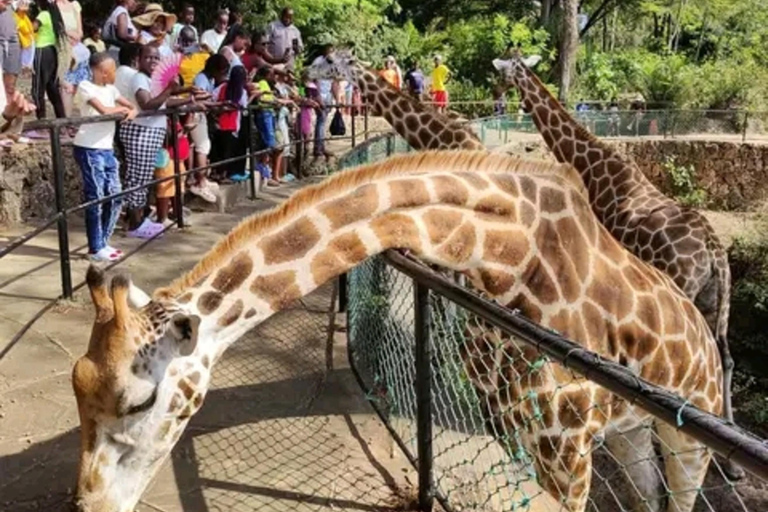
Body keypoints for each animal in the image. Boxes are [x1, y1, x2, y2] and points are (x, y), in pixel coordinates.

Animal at [72, 151, 722, 512]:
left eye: (140, 400)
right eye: (77, 390)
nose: (92, 506)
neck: (510, 254)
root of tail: (710, 343)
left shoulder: (567, 446)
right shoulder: (524, 430)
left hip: (690, 434)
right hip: (630, 431)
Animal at [490, 51, 742, 479]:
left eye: (504, 72)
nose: (496, 97)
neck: (594, 166)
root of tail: (713, 254)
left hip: (684, 287)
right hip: (717, 301)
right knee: (724, 357)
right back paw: (731, 460)